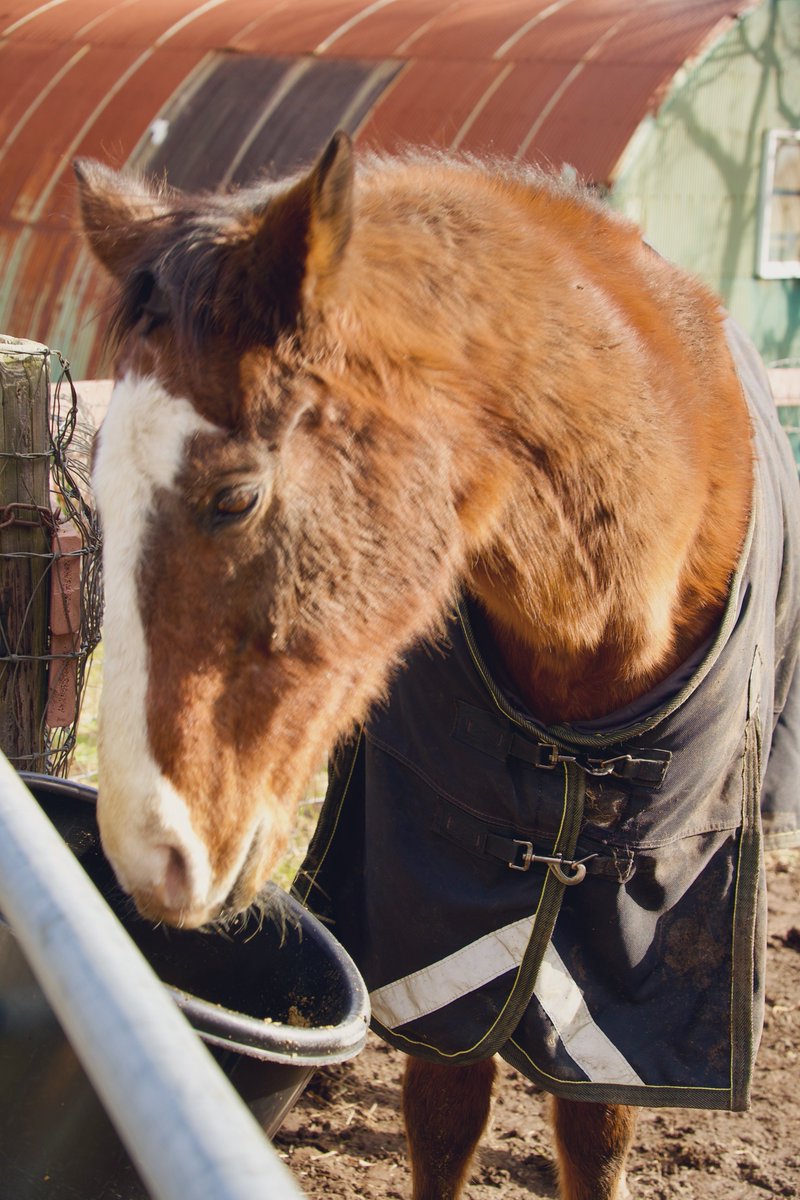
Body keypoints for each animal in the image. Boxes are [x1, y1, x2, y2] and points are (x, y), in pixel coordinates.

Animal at [75, 133, 800, 1200]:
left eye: (235, 497)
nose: (147, 852)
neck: (598, 625)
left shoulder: (641, 937)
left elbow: (595, 1128)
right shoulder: (436, 920)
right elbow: (448, 1109)